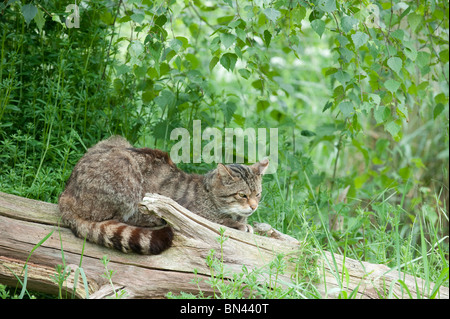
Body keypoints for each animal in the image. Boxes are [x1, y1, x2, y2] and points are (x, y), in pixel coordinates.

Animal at [57, 136, 268, 256]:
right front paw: (241, 225)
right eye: (242, 195)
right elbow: (221, 222)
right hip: (127, 169)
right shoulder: (196, 216)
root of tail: (66, 194)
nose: (254, 206)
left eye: (258, 194)